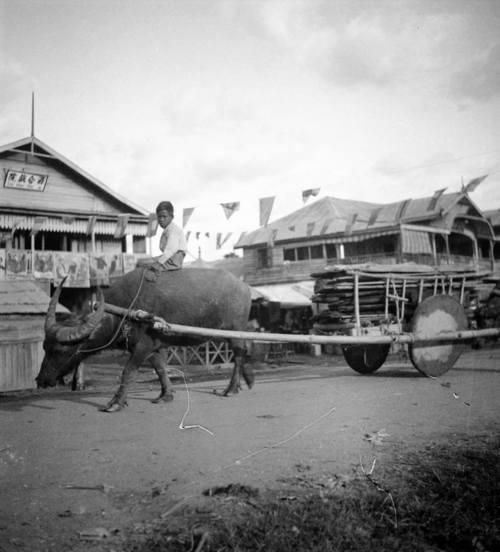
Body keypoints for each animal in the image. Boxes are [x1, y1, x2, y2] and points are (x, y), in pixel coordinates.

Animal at [37, 268, 254, 410]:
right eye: (44, 347)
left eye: (61, 350)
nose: (41, 380)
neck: (125, 312)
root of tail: (244, 286)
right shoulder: (153, 347)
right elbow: (160, 369)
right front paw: (166, 395)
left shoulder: (142, 346)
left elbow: (127, 371)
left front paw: (116, 402)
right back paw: (245, 382)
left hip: (235, 331)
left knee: (239, 355)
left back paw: (231, 388)